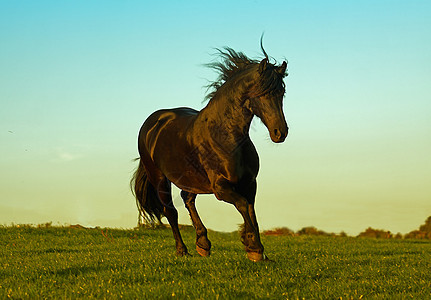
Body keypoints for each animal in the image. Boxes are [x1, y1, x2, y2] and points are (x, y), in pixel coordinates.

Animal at [130, 41, 288, 260]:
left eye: (281, 93)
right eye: (262, 93)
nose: (280, 133)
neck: (226, 137)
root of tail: (152, 122)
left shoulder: (250, 183)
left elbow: (251, 210)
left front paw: (254, 248)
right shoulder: (221, 188)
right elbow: (243, 205)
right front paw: (254, 247)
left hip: (189, 178)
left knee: (187, 199)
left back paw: (203, 244)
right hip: (159, 178)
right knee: (170, 211)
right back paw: (182, 250)